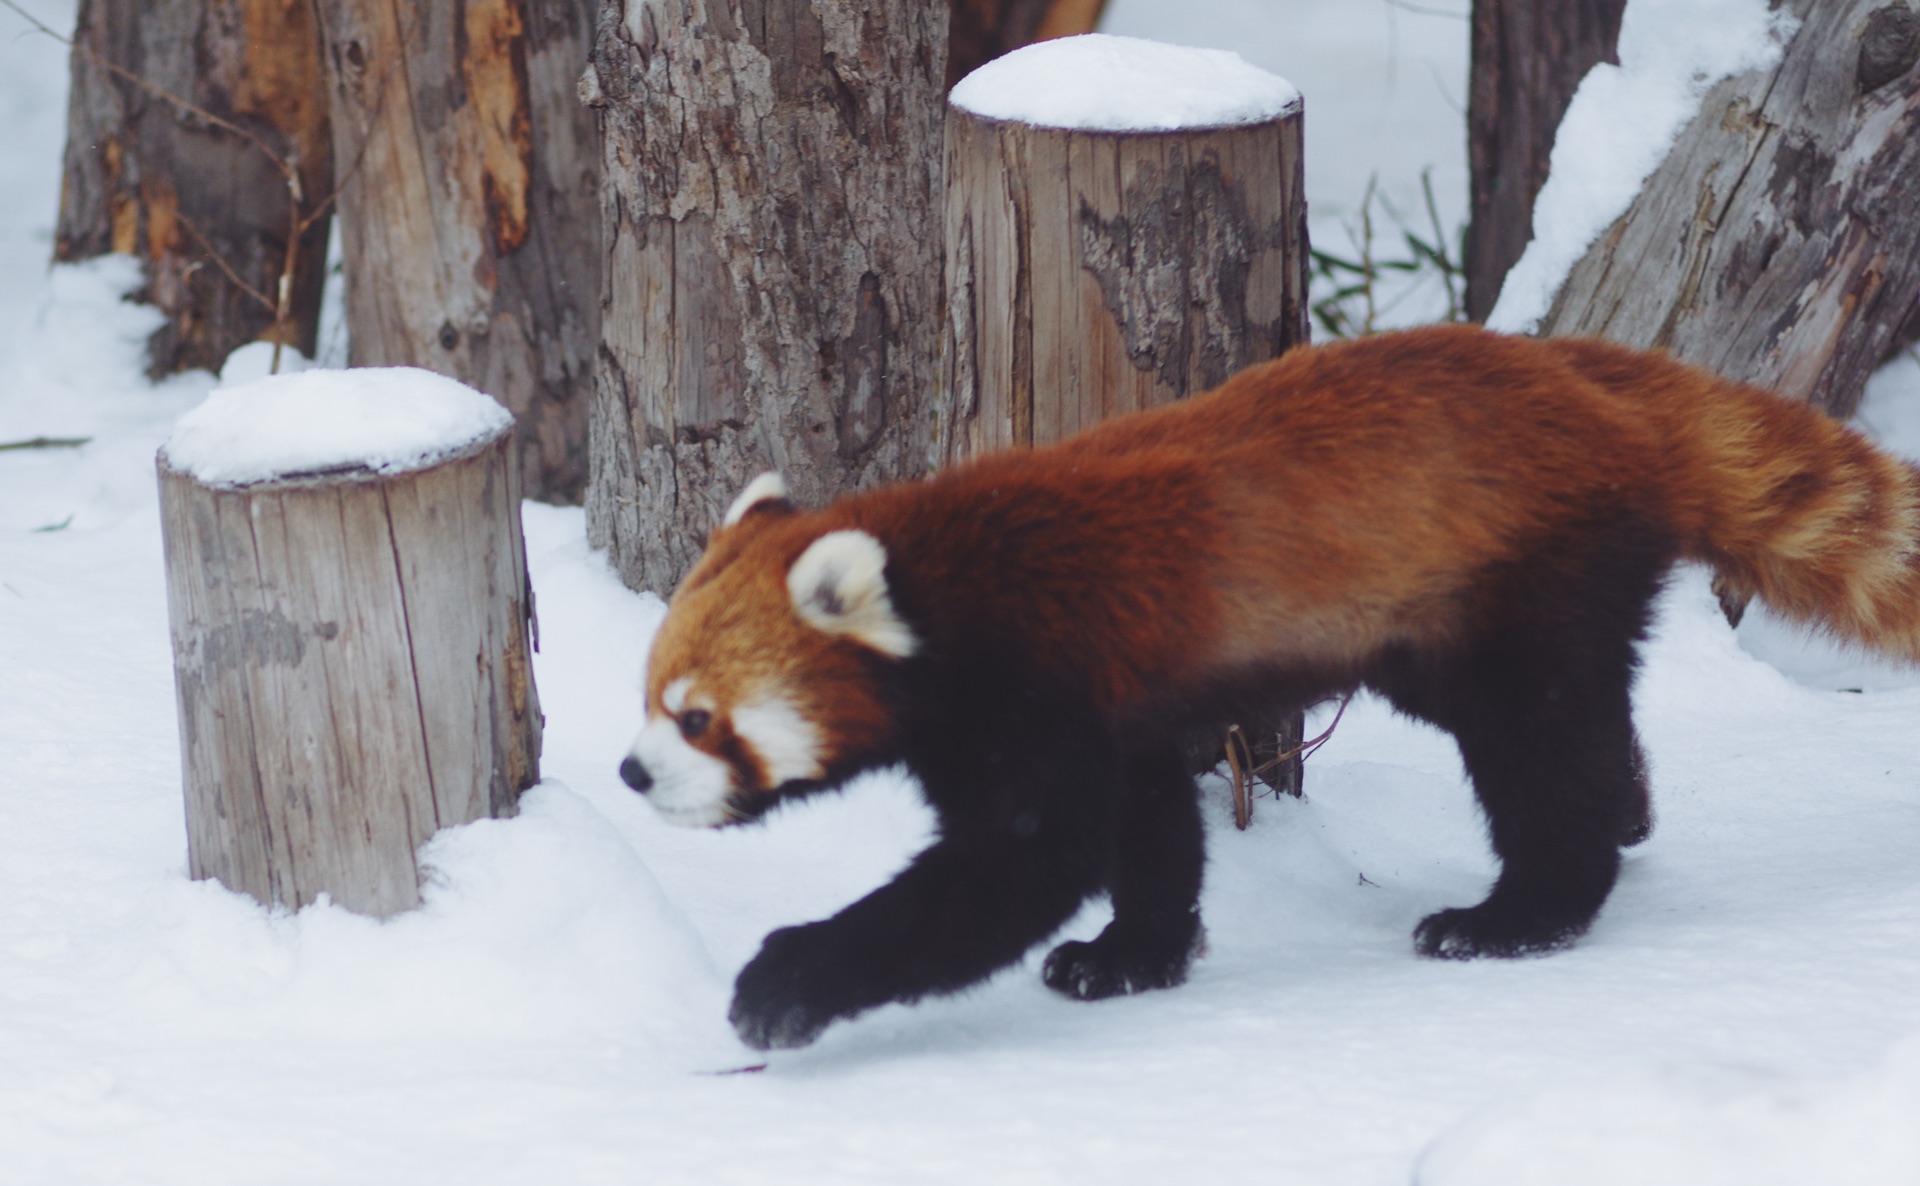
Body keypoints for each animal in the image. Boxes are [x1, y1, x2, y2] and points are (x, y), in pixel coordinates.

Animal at [618, 320, 1920, 1043]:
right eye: (648, 698)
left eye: (699, 717)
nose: (631, 772)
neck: (946, 586)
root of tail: (1588, 379)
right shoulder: (1118, 702)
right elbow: (1149, 830)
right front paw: (1130, 956)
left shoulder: (1037, 687)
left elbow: (1014, 869)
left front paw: (786, 980)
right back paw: (1628, 806)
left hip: (1522, 578)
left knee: (1540, 748)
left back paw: (1516, 913)